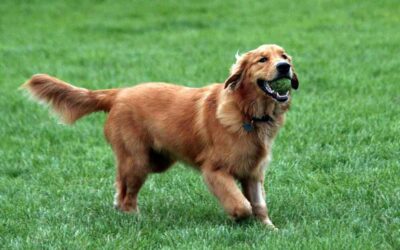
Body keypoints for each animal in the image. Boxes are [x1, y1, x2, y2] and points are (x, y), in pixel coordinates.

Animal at [21, 44, 298, 229]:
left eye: (284, 56)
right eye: (262, 59)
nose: (284, 67)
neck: (248, 113)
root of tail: (118, 93)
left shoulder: (253, 172)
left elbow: (259, 205)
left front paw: (269, 229)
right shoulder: (214, 170)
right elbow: (241, 204)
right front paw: (236, 217)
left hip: (157, 160)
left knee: (120, 184)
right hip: (138, 160)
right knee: (128, 194)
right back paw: (134, 217)